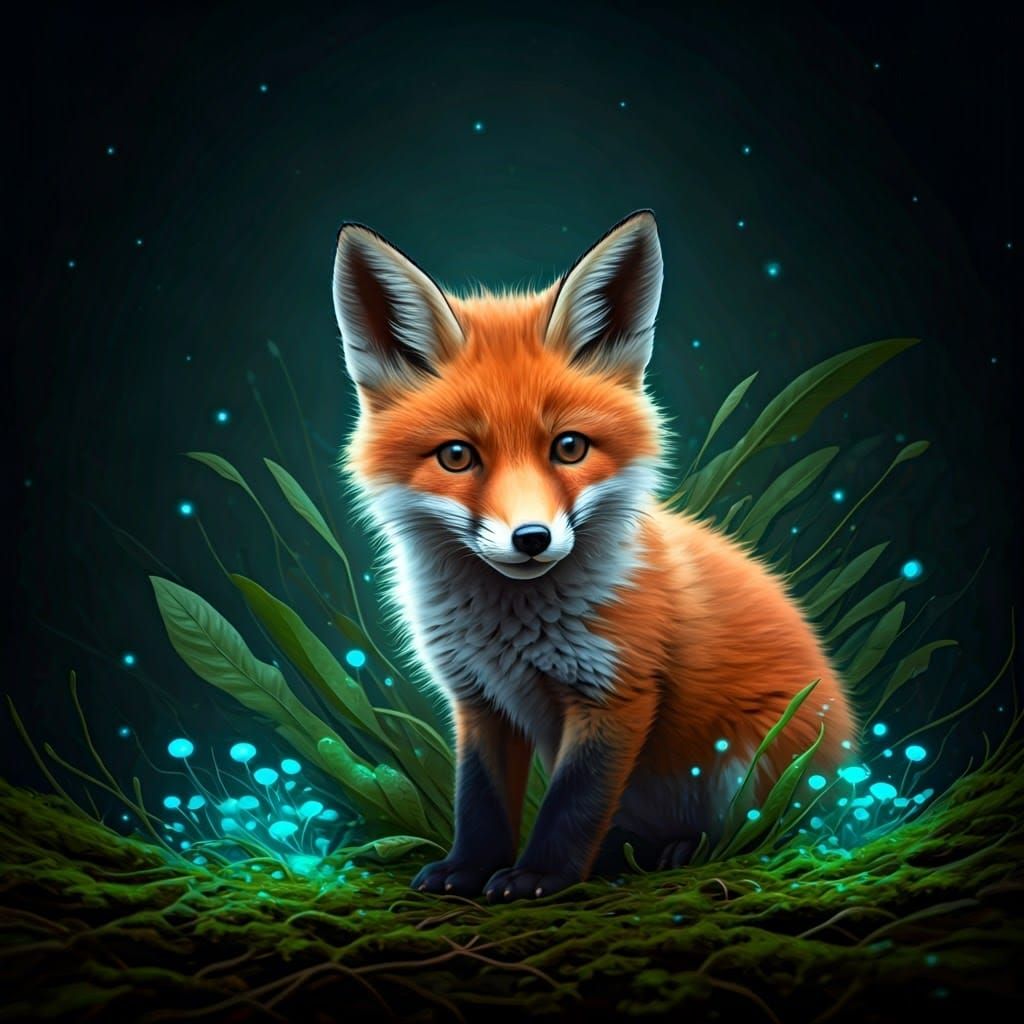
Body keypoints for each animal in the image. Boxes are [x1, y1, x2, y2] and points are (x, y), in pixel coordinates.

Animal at [332, 210, 856, 901]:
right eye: (457, 456)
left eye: (570, 447)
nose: (531, 538)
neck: (509, 633)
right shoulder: (478, 698)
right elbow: (479, 799)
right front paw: (469, 868)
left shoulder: (615, 691)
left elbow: (572, 804)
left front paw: (540, 875)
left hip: (755, 764)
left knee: (766, 832)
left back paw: (681, 850)